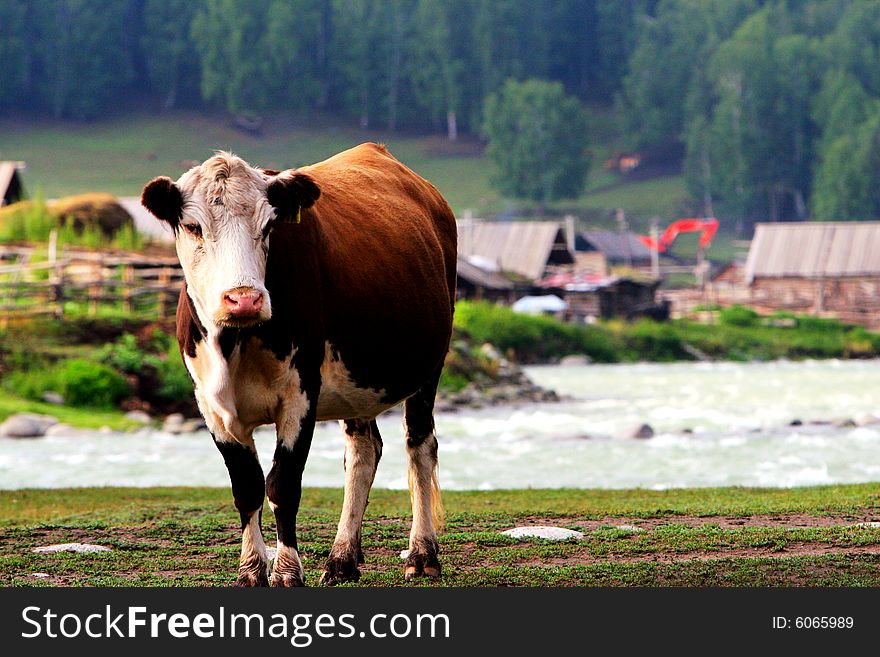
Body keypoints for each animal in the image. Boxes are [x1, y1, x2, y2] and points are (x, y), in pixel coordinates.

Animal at [141, 144, 458, 584]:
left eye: (269, 225)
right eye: (192, 226)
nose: (244, 299)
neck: (234, 343)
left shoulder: (300, 395)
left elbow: (282, 485)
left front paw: (288, 571)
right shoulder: (211, 406)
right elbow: (246, 487)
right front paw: (251, 570)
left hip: (428, 369)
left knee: (420, 447)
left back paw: (422, 554)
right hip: (356, 387)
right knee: (363, 453)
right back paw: (342, 559)